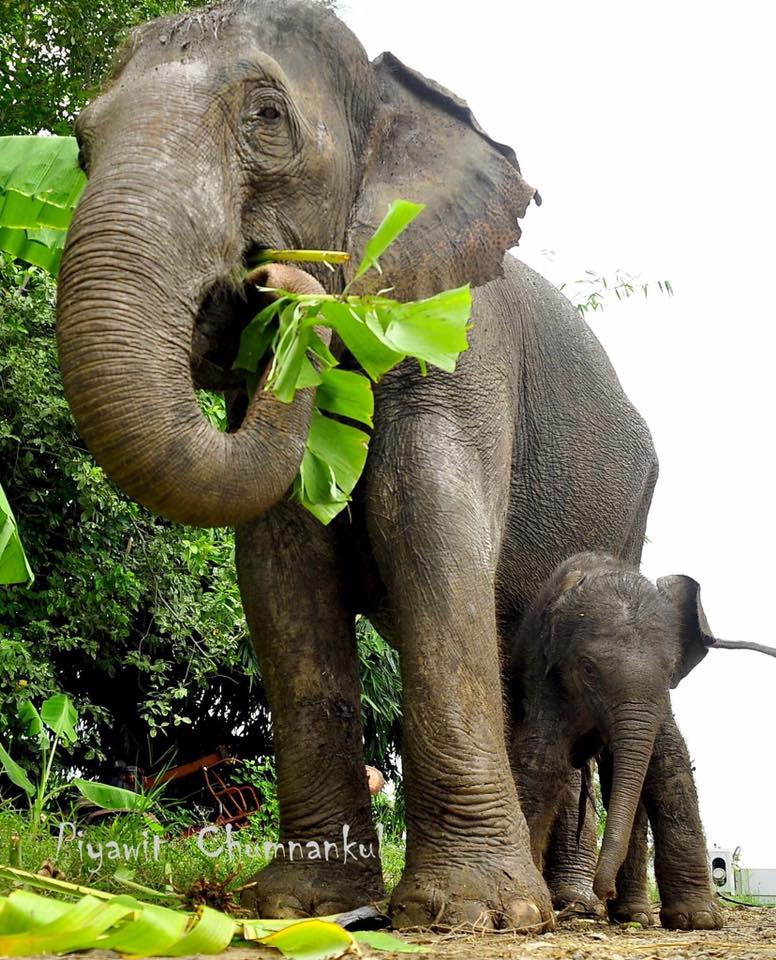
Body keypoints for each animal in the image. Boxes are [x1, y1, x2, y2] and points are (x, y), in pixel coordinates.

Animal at [55, 0, 659, 930]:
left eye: (267, 117)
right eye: (82, 145)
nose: (281, 283)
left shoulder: (461, 340)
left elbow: (429, 528)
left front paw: (471, 915)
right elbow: (281, 567)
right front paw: (299, 904)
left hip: (628, 518)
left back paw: (565, 906)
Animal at [508, 551, 723, 930]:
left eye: (671, 670)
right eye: (588, 668)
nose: (602, 891)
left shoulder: (657, 704)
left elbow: (669, 766)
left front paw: (698, 919)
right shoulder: (546, 675)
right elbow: (541, 761)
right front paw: (536, 908)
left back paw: (634, 914)